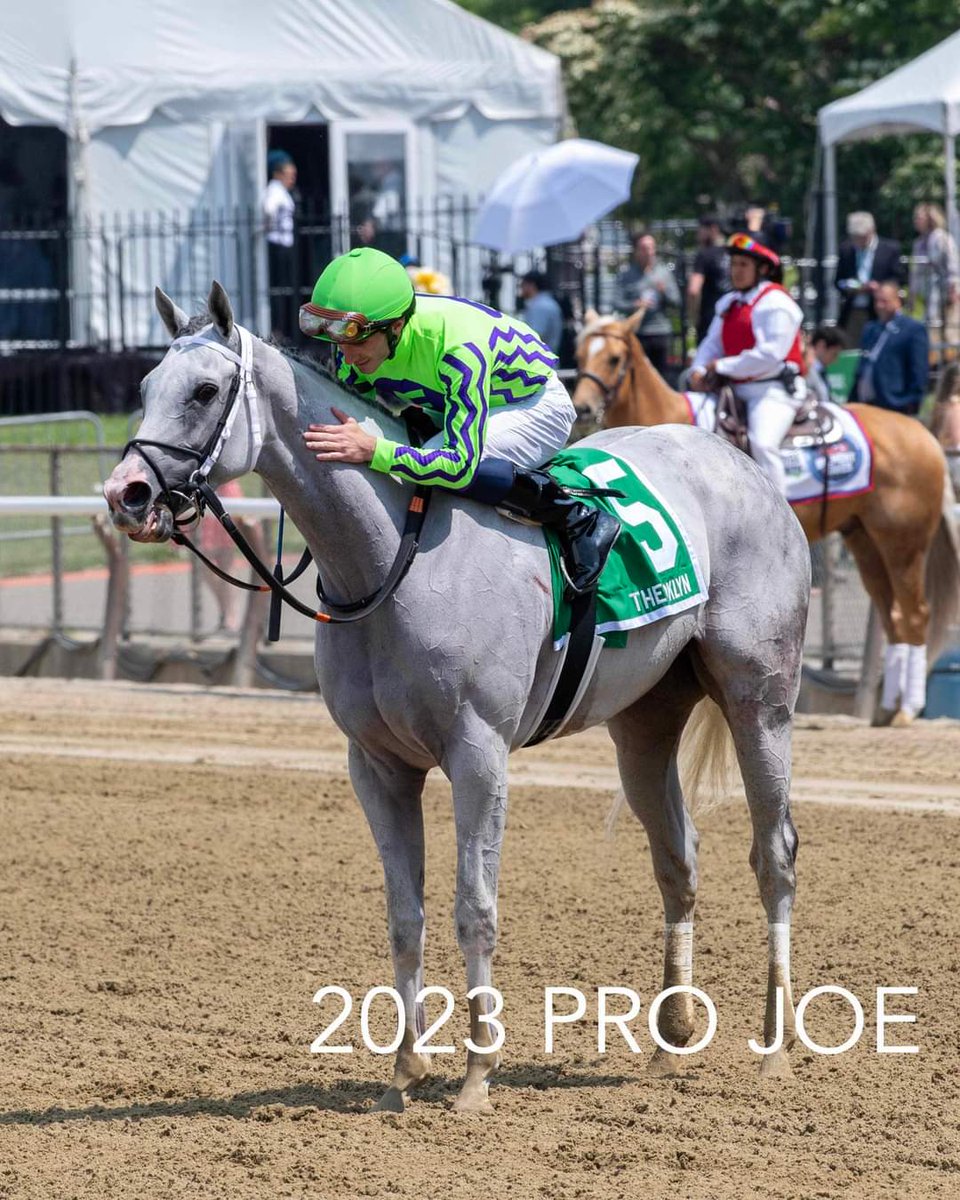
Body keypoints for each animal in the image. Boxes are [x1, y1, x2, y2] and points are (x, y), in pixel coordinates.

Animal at [103, 283, 811, 1113]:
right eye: (147, 387)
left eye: (206, 391)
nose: (127, 494)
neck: (390, 559)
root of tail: (747, 468)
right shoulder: (376, 764)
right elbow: (403, 915)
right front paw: (403, 1073)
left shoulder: (479, 753)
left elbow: (474, 908)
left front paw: (475, 1077)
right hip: (645, 720)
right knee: (678, 858)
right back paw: (671, 1043)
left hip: (759, 698)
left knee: (774, 853)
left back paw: (775, 1050)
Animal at [573, 307, 955, 720]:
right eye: (579, 355)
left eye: (614, 358)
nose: (583, 408)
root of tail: (922, 434)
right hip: (867, 543)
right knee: (895, 619)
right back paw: (886, 711)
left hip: (903, 546)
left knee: (915, 617)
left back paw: (906, 711)